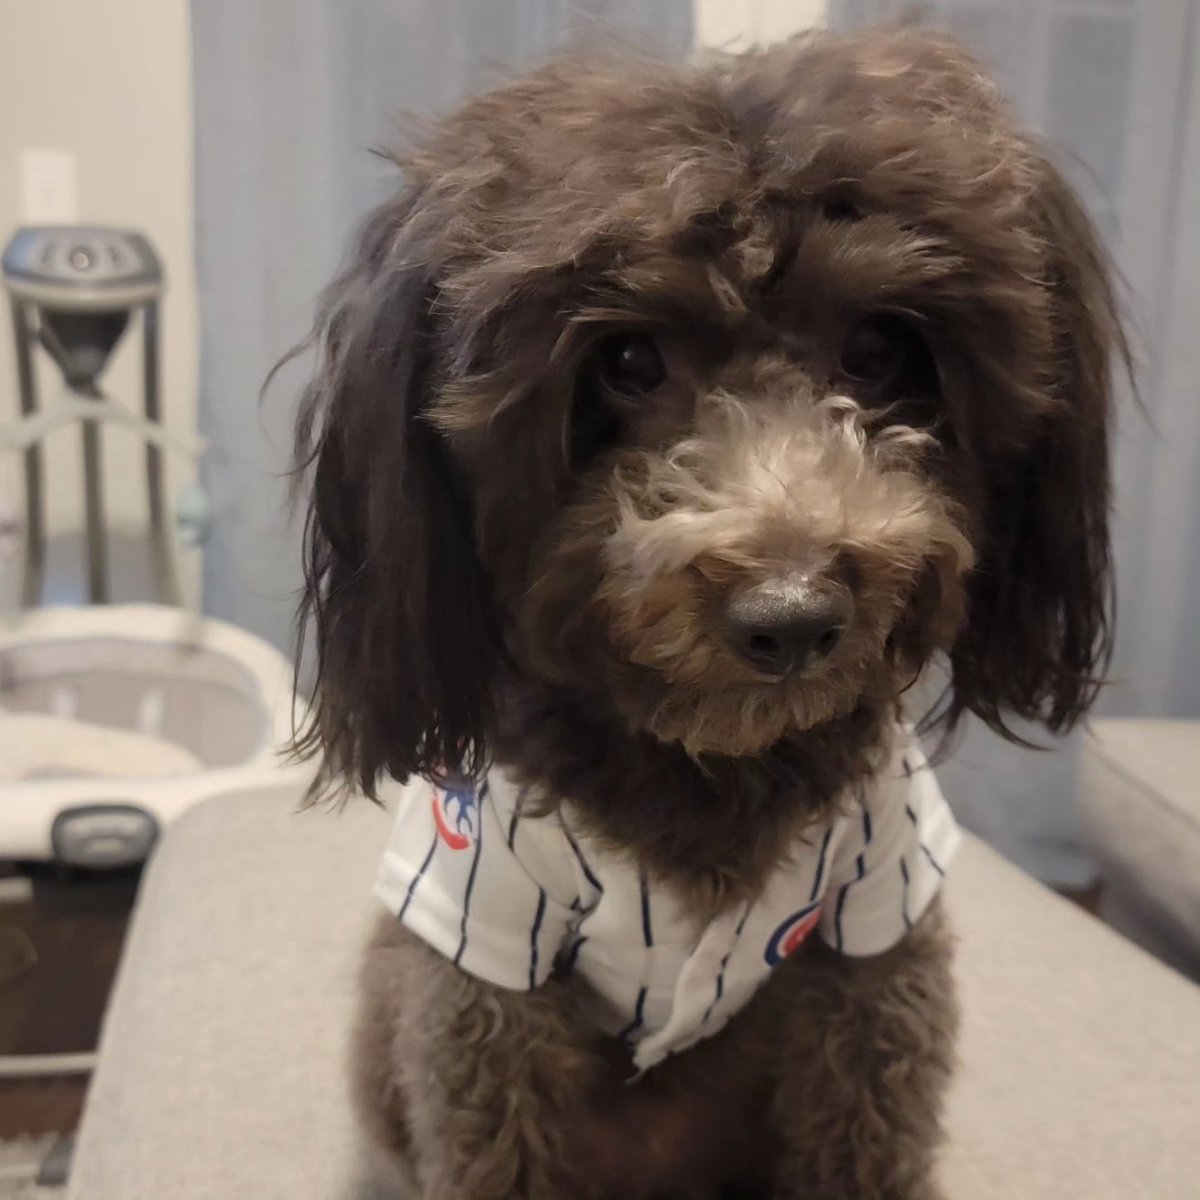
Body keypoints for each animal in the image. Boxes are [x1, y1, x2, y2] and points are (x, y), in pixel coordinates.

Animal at [290, 25, 1123, 1200]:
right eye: (629, 361)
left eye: (878, 348)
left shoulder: (878, 925)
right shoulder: (485, 951)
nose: (794, 615)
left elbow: (868, 1130)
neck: (716, 760)